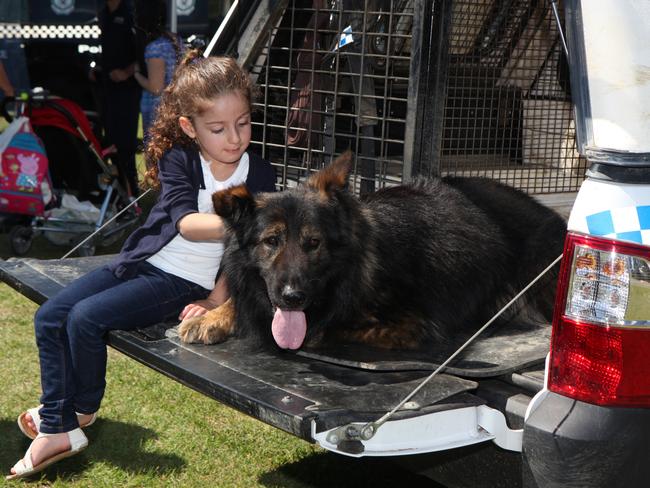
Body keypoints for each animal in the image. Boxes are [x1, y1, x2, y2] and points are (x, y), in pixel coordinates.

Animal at [176, 152, 560, 350]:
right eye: (272, 241)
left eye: (313, 242)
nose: (293, 298)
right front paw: (212, 315)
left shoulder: (414, 324)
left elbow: (327, 328)